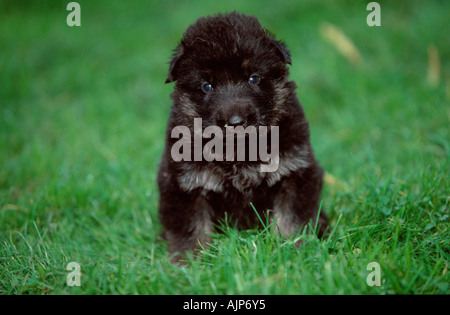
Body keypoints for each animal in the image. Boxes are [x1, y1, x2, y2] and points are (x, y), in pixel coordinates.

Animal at [158, 11, 326, 264]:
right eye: (207, 86)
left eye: (253, 78)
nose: (236, 121)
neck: (239, 151)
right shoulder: (183, 185)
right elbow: (190, 227)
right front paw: (190, 261)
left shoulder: (295, 171)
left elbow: (291, 218)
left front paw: (293, 249)